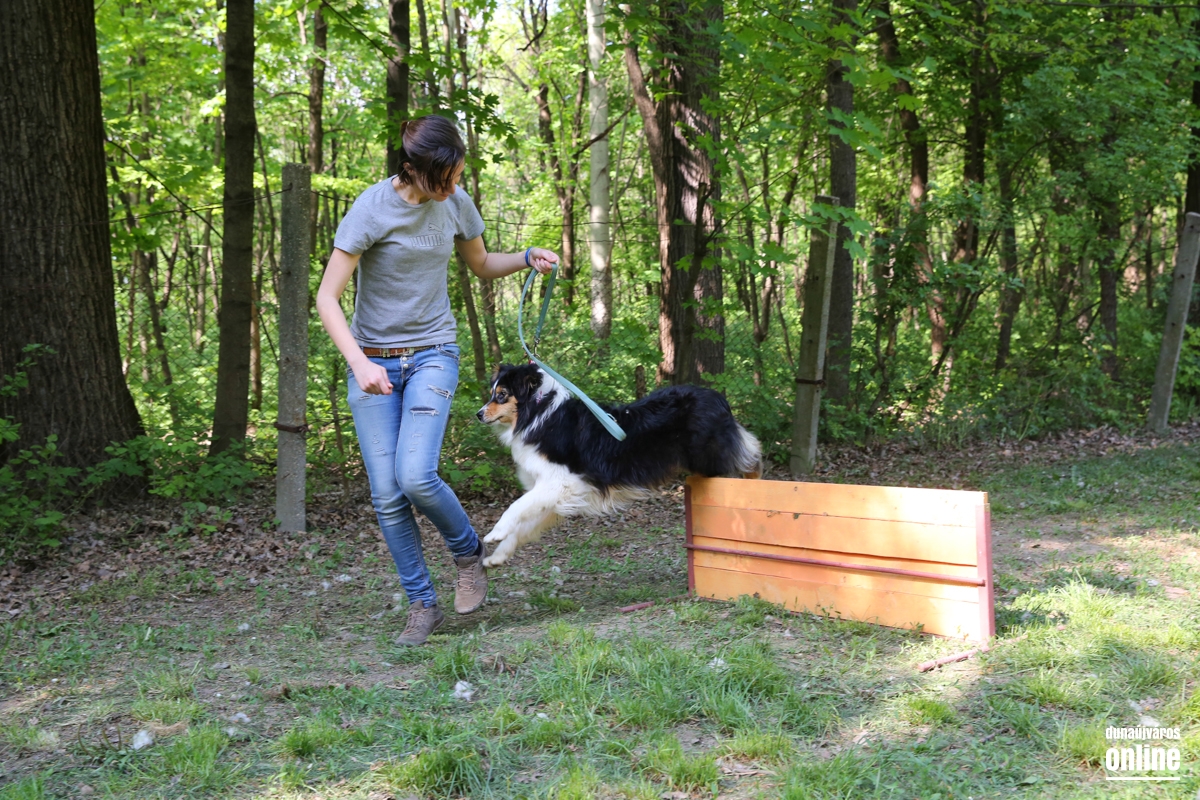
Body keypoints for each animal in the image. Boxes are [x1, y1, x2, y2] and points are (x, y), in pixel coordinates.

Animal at [475, 363, 762, 567]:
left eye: (501, 395)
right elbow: (523, 524)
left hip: (709, 456)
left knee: (748, 454)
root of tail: (716, 396)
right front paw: (497, 556)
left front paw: (494, 533)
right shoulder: (554, 494)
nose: (478, 414)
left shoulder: (562, 482)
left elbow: (515, 506)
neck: (537, 411)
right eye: (492, 394)